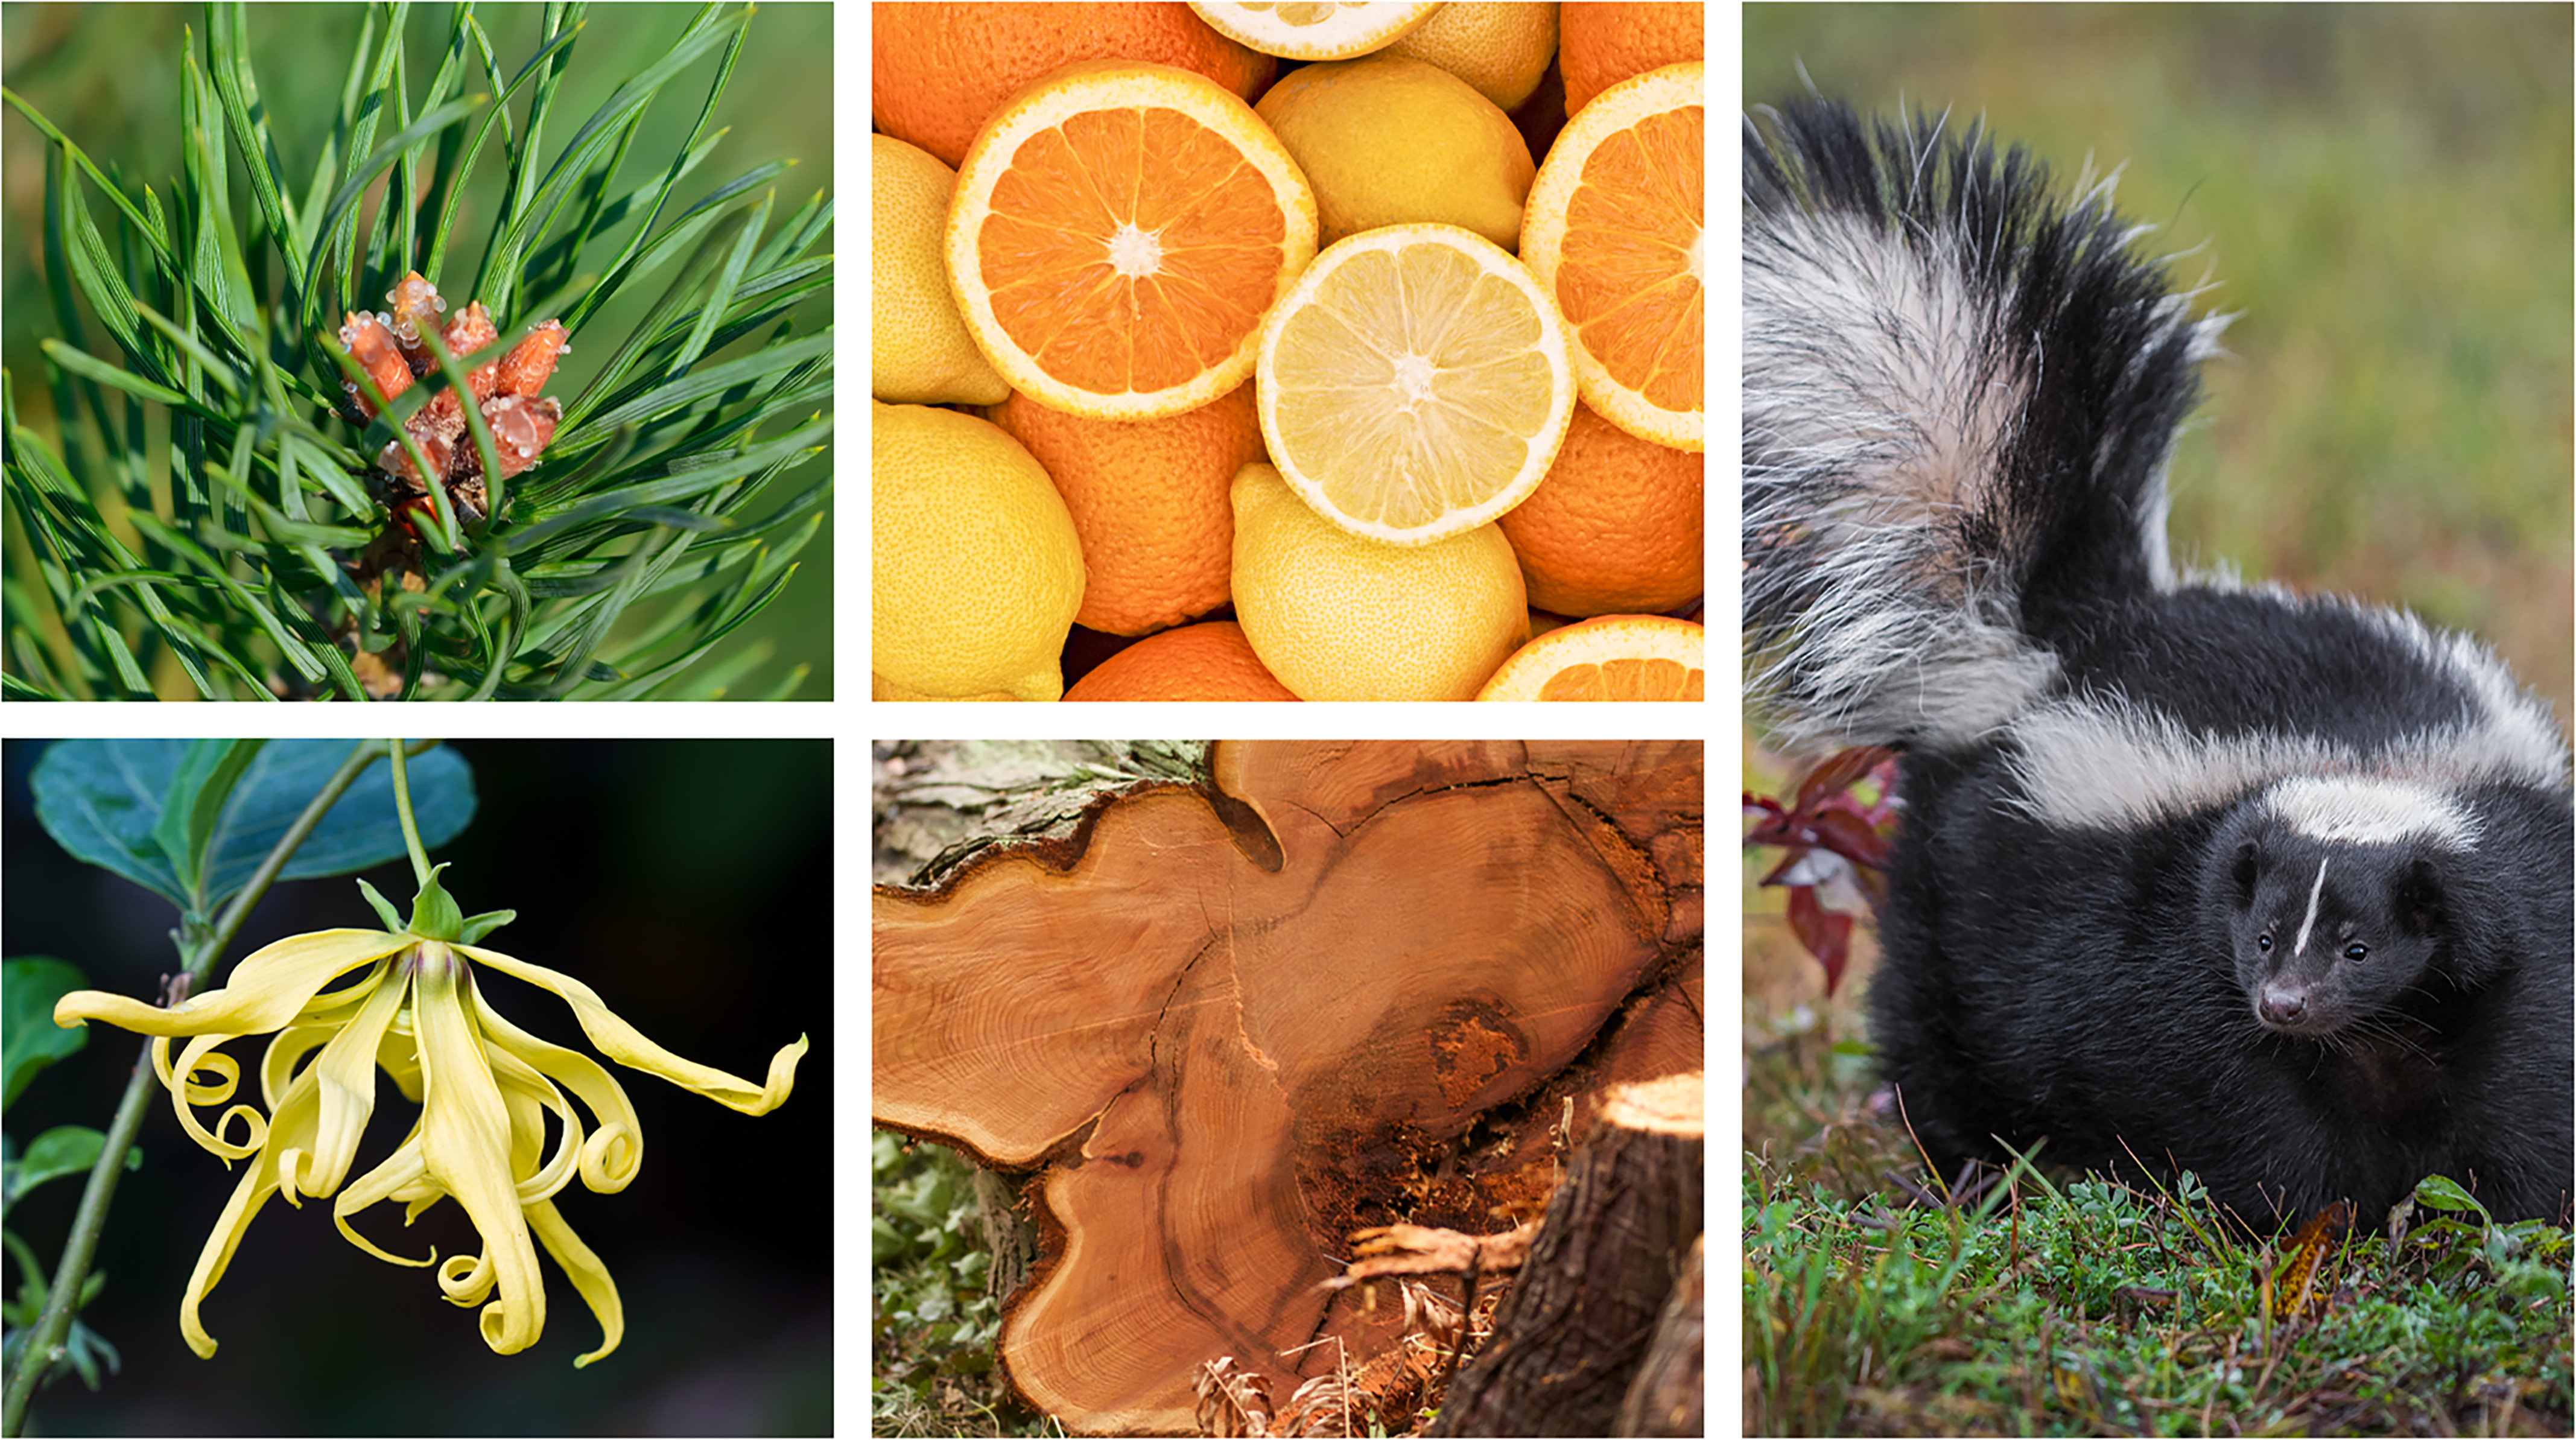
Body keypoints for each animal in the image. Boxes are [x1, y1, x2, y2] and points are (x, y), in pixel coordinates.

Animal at [1741, 101, 2565, 1226]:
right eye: (2262, 936)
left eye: (2358, 947)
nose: (2285, 1001)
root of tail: (2073, 626)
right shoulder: (2163, 937)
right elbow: (2229, 1094)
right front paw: (2305, 1216)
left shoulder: (2514, 918)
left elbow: (2526, 1073)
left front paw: (2504, 1212)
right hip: (1960, 878)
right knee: (1933, 1018)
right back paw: (1967, 1160)